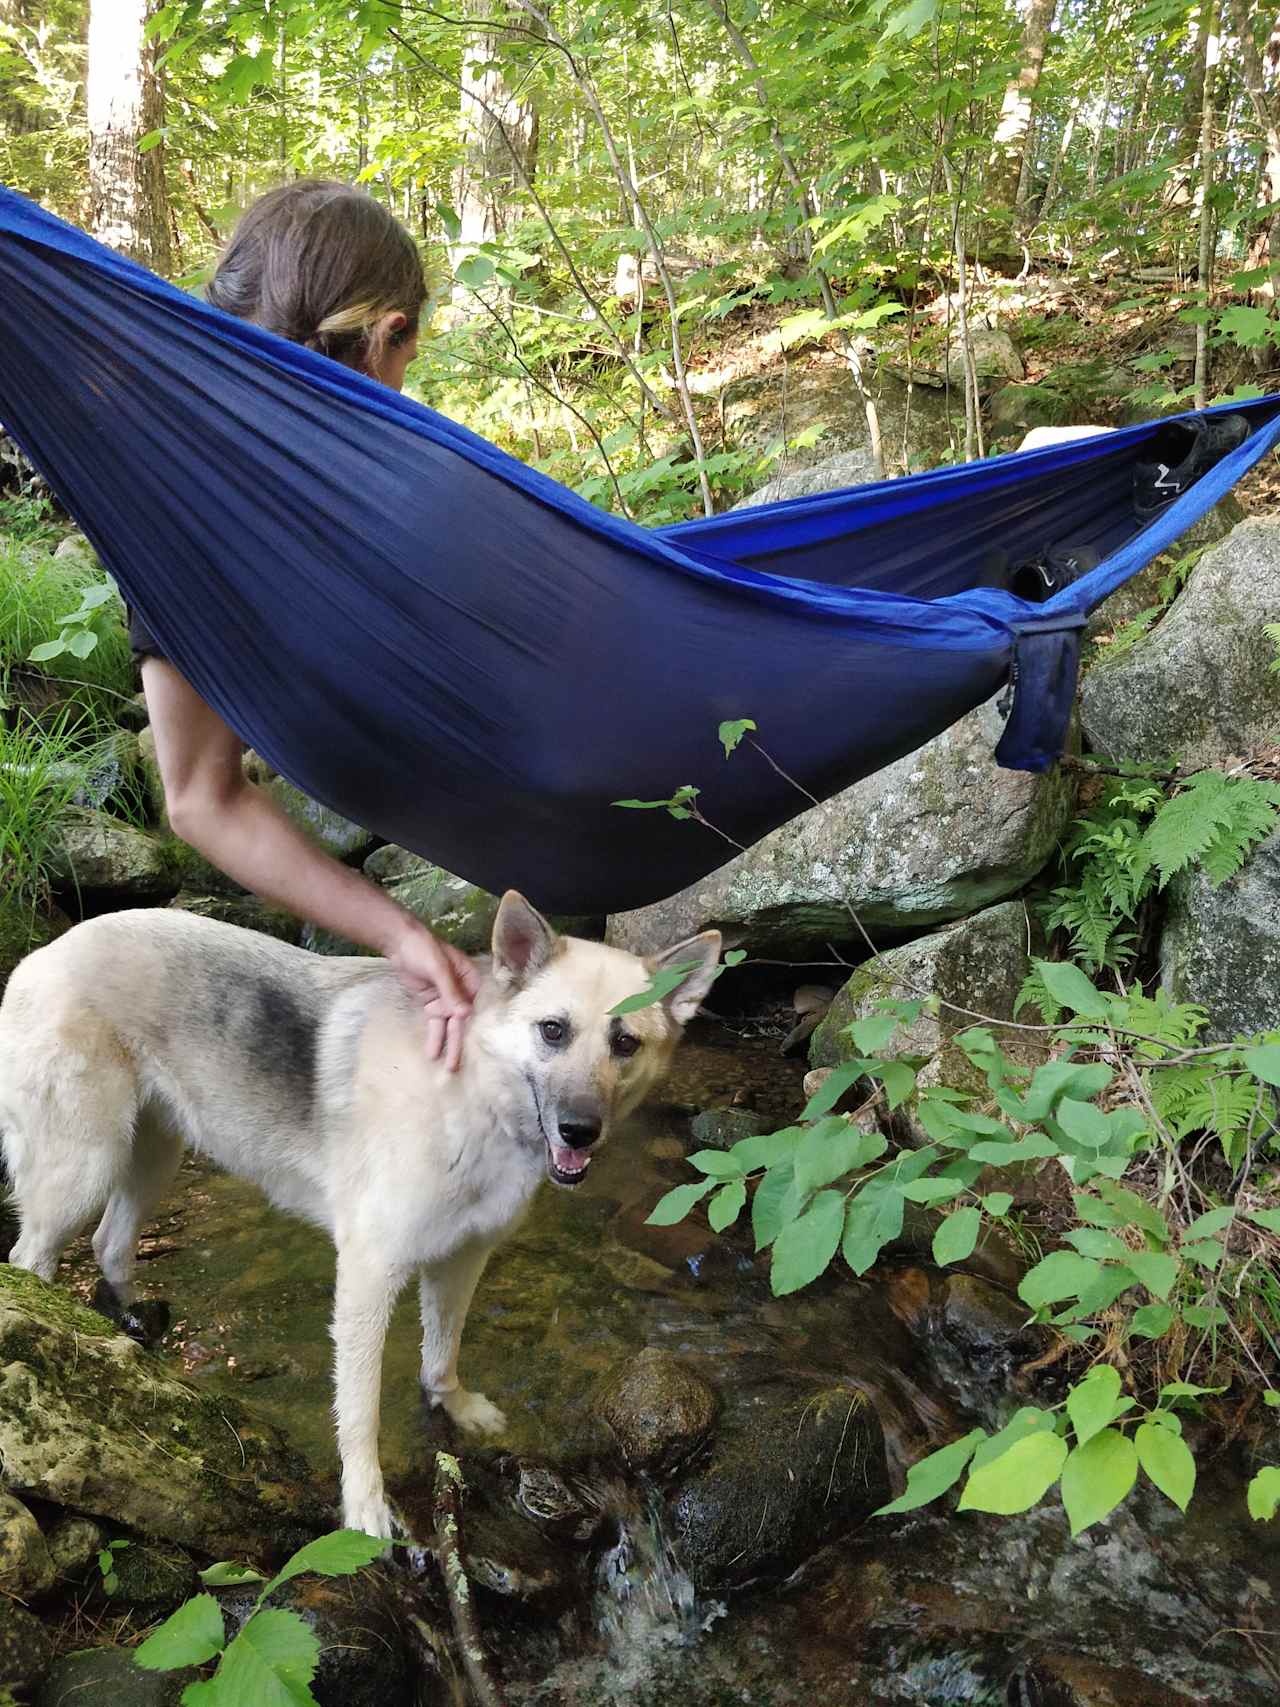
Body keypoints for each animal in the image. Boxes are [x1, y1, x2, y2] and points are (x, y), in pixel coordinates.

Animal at [0, 901, 723, 1543]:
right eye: (553, 1030)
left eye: (624, 1043)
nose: (580, 1130)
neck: (470, 1092)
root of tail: (42, 955)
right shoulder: (370, 1277)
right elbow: (360, 1410)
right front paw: (365, 1503)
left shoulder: (461, 1261)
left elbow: (442, 1352)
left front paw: (454, 1405)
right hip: (82, 1171)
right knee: (32, 1259)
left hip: (152, 1157)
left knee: (109, 1243)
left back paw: (127, 1326)